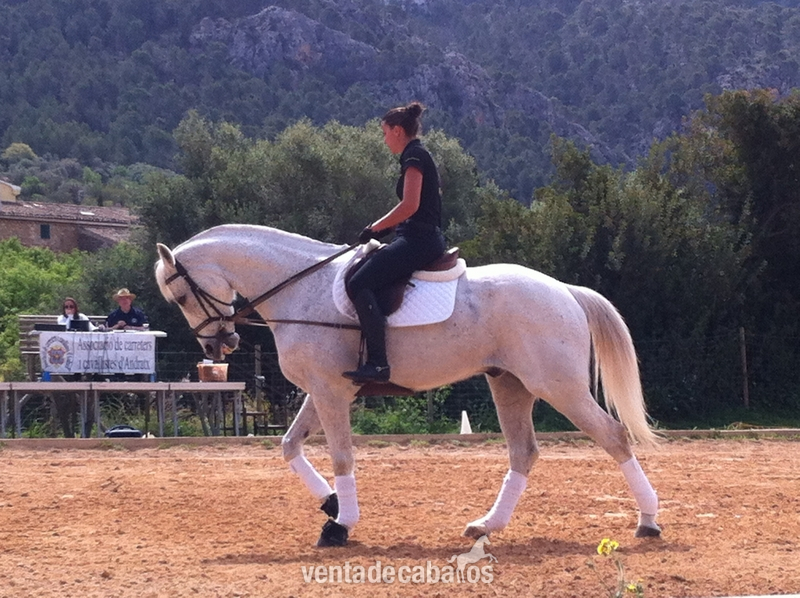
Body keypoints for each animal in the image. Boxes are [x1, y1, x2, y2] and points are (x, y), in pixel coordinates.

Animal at [154, 224, 661, 547]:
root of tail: (564, 290)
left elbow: (342, 456)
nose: (220, 344)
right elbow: (289, 445)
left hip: (560, 387)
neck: (300, 290)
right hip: (510, 385)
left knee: (614, 437)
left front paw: (340, 526)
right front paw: (331, 504)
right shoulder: (323, 391)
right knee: (524, 453)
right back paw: (486, 526)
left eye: (179, 295)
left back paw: (649, 521)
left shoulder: (331, 393)